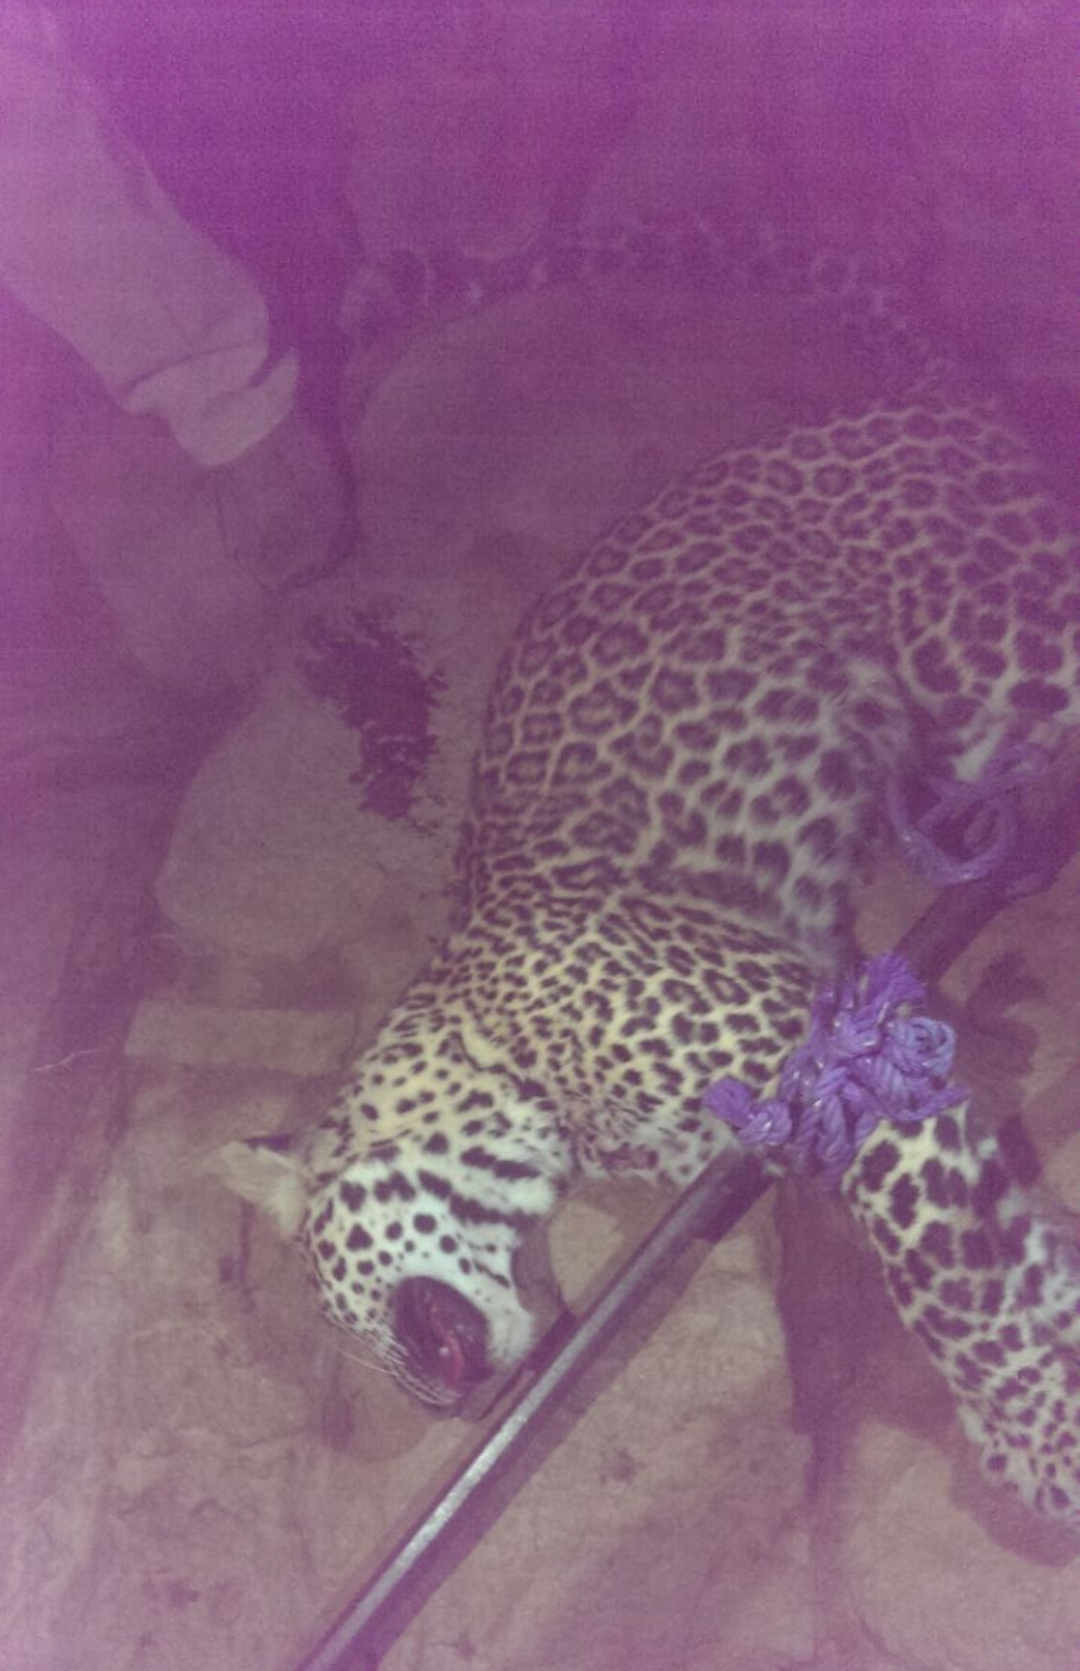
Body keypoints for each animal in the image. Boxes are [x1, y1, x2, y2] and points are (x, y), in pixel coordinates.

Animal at [218, 225, 1080, 1534]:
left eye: (342, 1320)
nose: (445, 1414)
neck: (497, 1070)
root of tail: (921, 398)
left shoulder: (845, 1065)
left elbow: (954, 1290)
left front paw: (1036, 1432)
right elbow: (1009, 1257)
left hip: (996, 648)